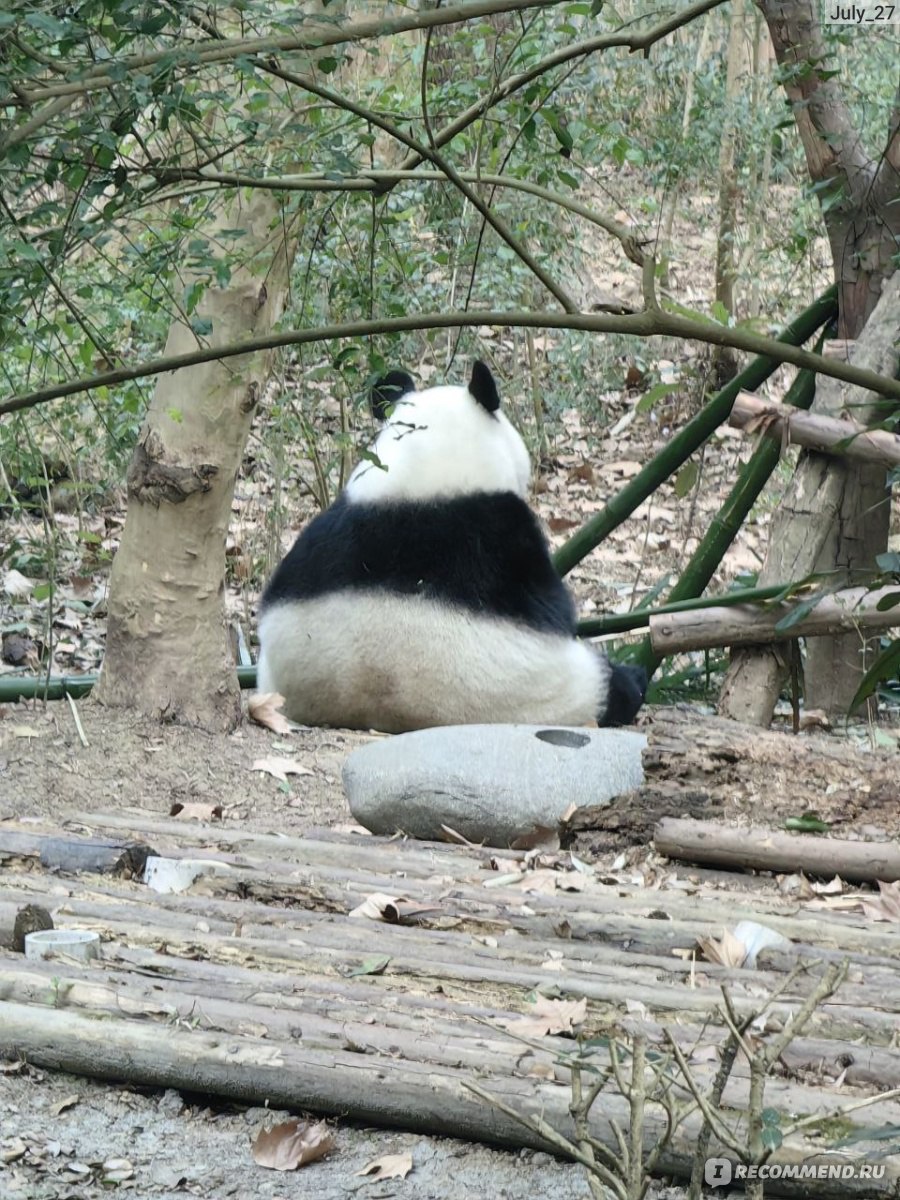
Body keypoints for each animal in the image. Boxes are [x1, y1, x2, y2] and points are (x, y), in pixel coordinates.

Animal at [256, 355, 643, 729]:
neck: (423, 468)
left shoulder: (317, 542)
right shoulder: (506, 542)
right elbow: (551, 606)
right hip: (560, 694)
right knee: (616, 687)